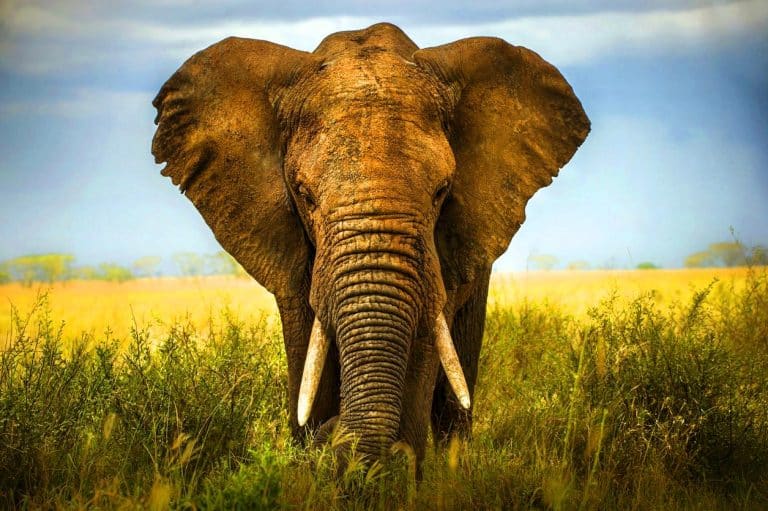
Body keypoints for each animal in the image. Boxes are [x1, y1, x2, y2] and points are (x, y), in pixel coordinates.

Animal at [152, 22, 589, 469]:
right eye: (304, 195)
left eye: (441, 192)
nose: (332, 434)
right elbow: (307, 347)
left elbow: (424, 344)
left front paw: (393, 470)